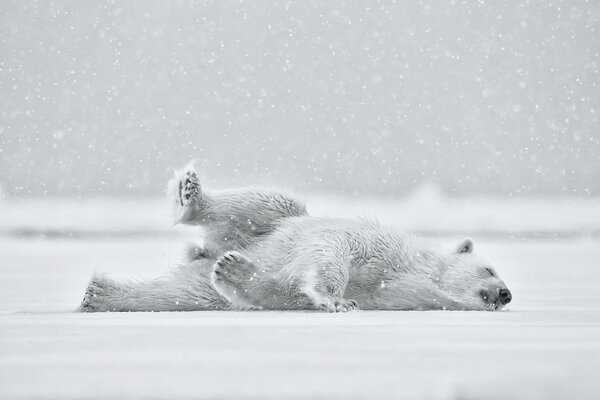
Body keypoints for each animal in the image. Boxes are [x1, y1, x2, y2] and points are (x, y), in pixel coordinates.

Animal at [77, 166, 512, 312]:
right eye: (490, 269)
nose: (505, 294)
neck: (412, 270)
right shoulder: (379, 246)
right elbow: (334, 250)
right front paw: (338, 300)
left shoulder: (400, 295)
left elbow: (288, 293)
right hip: (271, 224)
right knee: (271, 202)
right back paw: (191, 196)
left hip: (210, 273)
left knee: (183, 292)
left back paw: (99, 293)